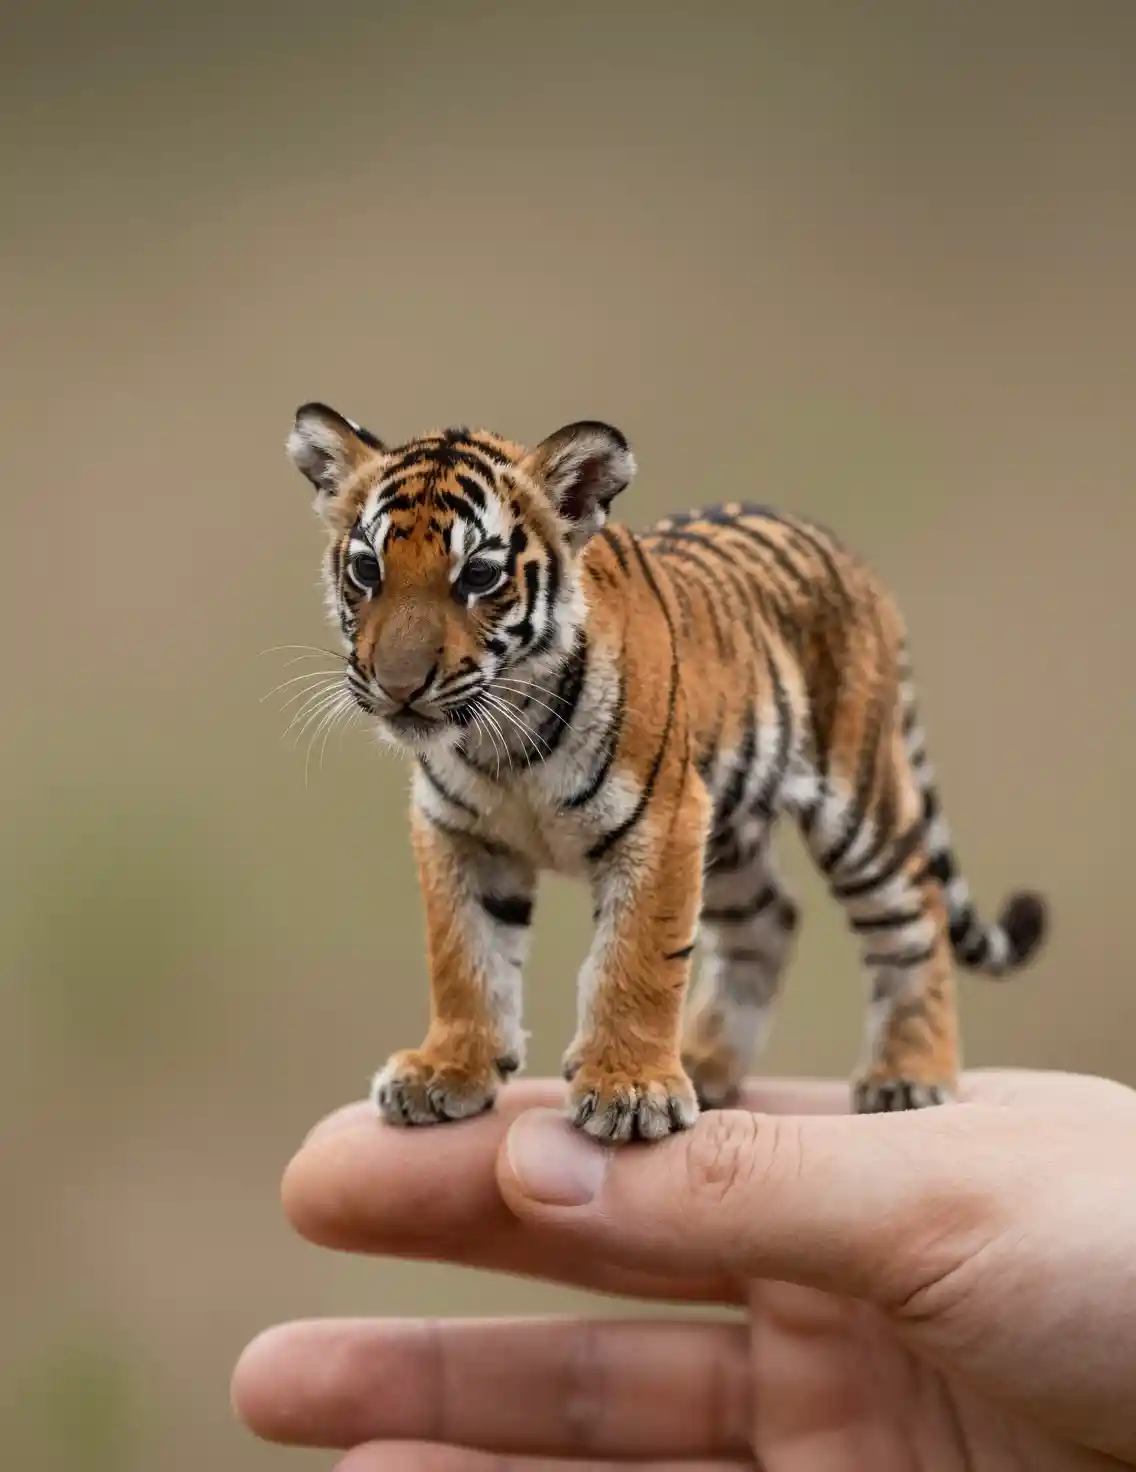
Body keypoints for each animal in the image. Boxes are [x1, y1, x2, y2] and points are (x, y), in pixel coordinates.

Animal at [285, 401, 1048, 1142]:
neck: (506, 742)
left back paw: (908, 1077)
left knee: (913, 916)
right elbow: (464, 957)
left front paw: (629, 1092)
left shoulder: (660, 821)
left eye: (477, 575)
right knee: (769, 921)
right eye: (367, 571)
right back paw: (707, 1062)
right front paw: (446, 1071)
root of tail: (840, 551)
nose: (398, 686)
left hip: (857, 804)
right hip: (731, 828)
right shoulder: (458, 834)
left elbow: (637, 959)